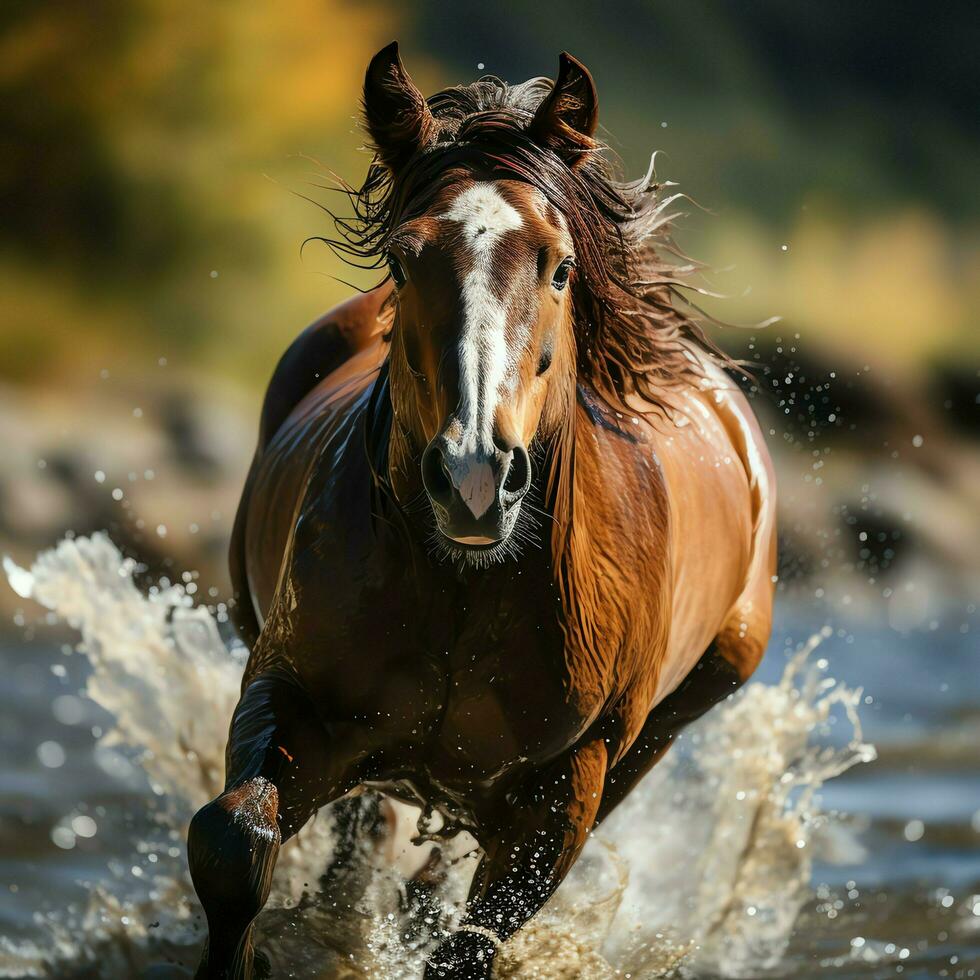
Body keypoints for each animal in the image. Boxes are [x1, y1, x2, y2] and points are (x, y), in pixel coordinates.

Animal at [188, 44, 776, 980]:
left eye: (561, 265)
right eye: (402, 260)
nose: (473, 477)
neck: (468, 590)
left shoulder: (566, 784)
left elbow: (469, 946)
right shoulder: (290, 691)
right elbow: (233, 840)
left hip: (674, 718)